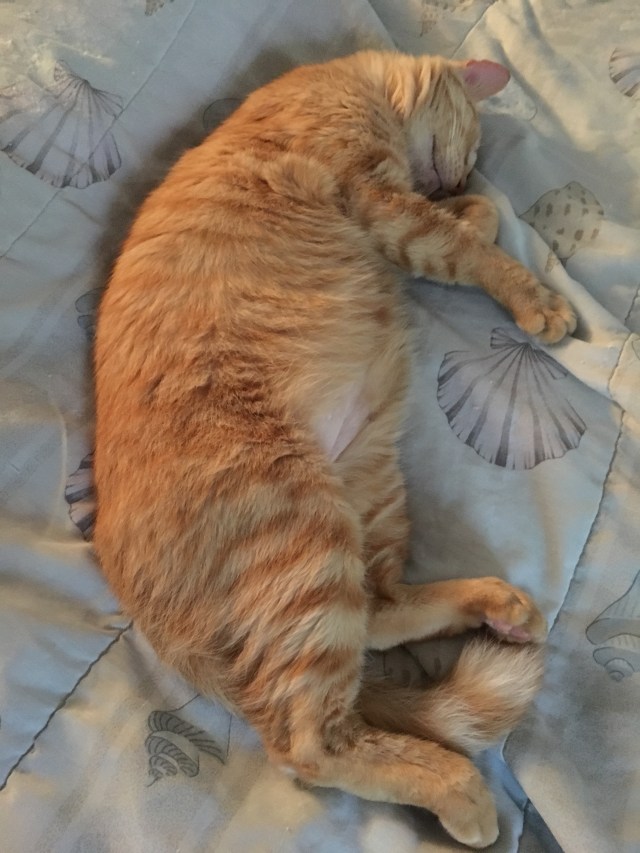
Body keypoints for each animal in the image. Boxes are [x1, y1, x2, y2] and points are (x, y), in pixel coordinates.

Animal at [93, 51, 575, 848]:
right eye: (474, 144)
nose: (456, 182)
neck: (351, 84)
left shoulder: (396, 210)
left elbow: (473, 228)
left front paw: (477, 210)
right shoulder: (379, 196)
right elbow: (471, 250)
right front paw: (532, 292)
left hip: (366, 488)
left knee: (380, 615)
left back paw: (496, 606)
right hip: (300, 529)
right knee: (310, 743)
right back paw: (458, 790)